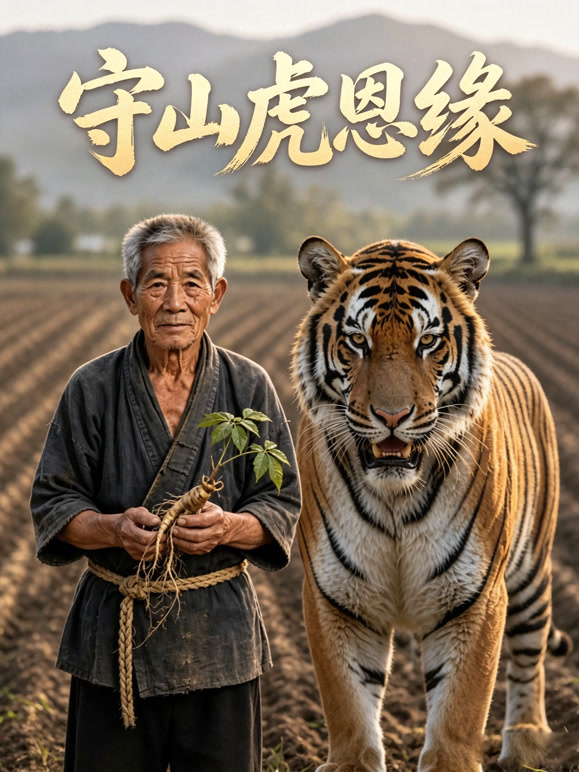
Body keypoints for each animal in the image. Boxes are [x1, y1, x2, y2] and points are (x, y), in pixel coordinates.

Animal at [291, 236, 571, 772]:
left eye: (428, 342)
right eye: (357, 341)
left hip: (532, 573)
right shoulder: (336, 597)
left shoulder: (475, 595)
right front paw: (352, 760)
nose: (392, 415)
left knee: (530, 656)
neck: (395, 496)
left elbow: (462, 701)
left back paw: (525, 742)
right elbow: (347, 701)